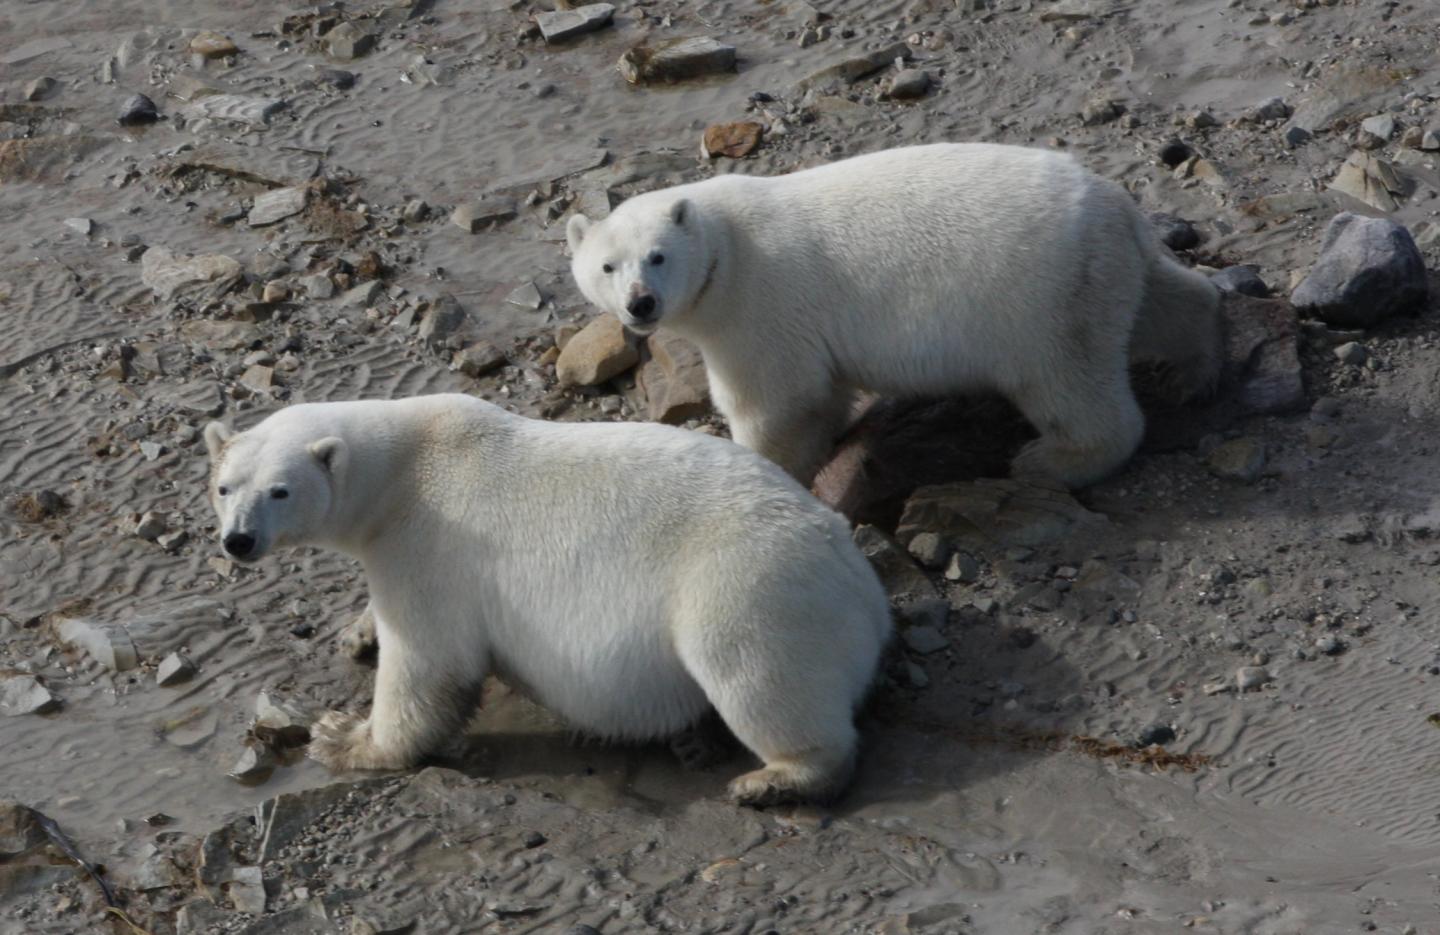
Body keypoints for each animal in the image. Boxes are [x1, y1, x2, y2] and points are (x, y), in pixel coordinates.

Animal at [203, 394, 887, 801]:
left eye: (281, 491)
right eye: (224, 485)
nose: (239, 540)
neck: (406, 462)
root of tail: (860, 584)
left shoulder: (429, 546)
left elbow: (428, 664)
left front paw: (343, 737)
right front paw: (356, 631)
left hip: (748, 588)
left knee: (757, 677)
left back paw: (772, 779)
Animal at [567, 144, 1221, 489]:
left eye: (657, 256)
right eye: (606, 265)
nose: (640, 303)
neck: (725, 244)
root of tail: (1115, 205)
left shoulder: (757, 306)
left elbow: (775, 401)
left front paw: (761, 466)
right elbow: (819, 395)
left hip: (1040, 298)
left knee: (1067, 382)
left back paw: (1046, 461)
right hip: (1104, 269)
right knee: (1162, 304)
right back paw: (1195, 367)